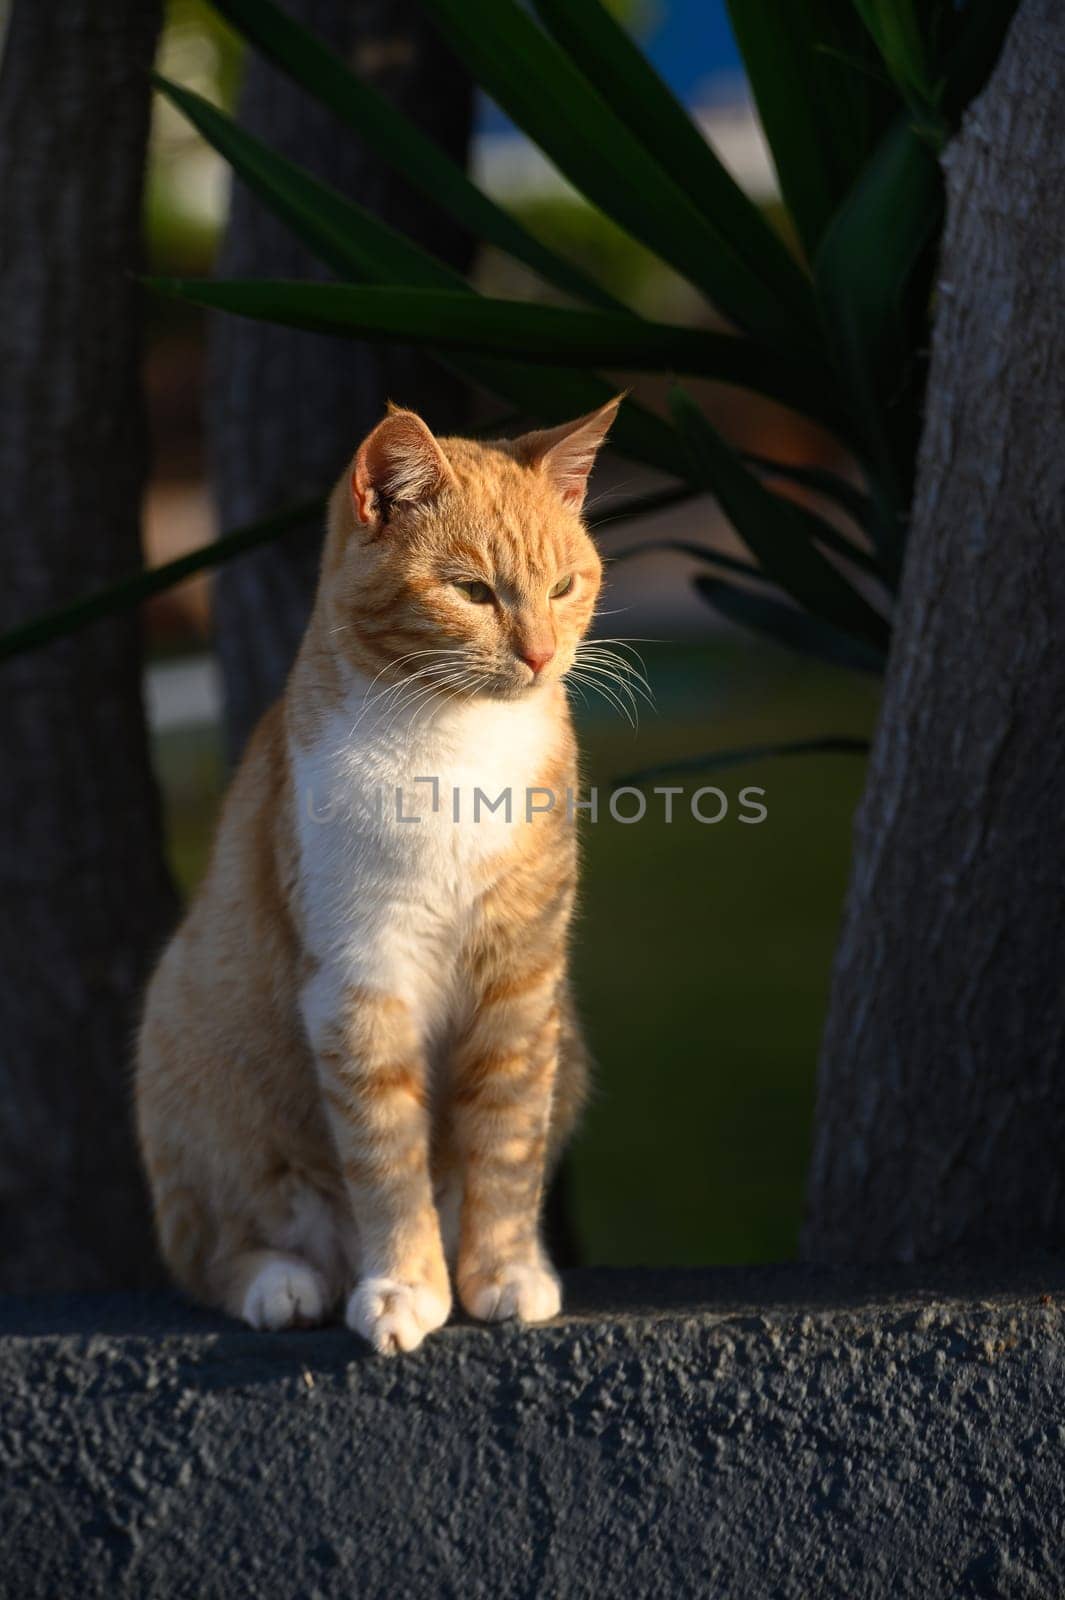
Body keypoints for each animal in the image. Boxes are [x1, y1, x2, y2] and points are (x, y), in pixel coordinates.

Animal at [135, 393, 614, 1344]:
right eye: (471, 591)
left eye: (562, 588)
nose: (542, 655)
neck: (453, 745)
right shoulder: (358, 982)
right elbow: (385, 1157)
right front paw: (403, 1286)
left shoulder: (522, 981)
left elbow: (506, 1141)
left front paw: (503, 1270)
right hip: (185, 1054)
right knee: (208, 1252)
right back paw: (283, 1282)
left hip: (569, 1048)